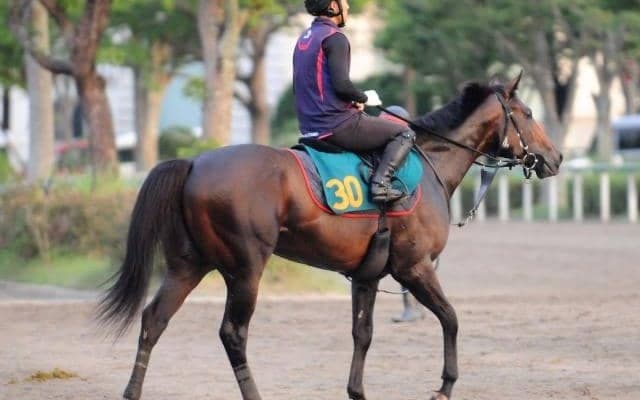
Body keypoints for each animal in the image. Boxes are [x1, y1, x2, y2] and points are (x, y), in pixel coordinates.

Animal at [98, 73, 562, 400]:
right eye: (528, 113)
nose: (556, 157)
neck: (429, 160)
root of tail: (195, 162)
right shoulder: (415, 269)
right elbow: (450, 318)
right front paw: (445, 385)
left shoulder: (367, 275)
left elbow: (363, 334)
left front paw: (357, 391)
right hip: (244, 270)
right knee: (233, 334)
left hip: (189, 265)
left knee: (154, 319)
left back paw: (132, 391)